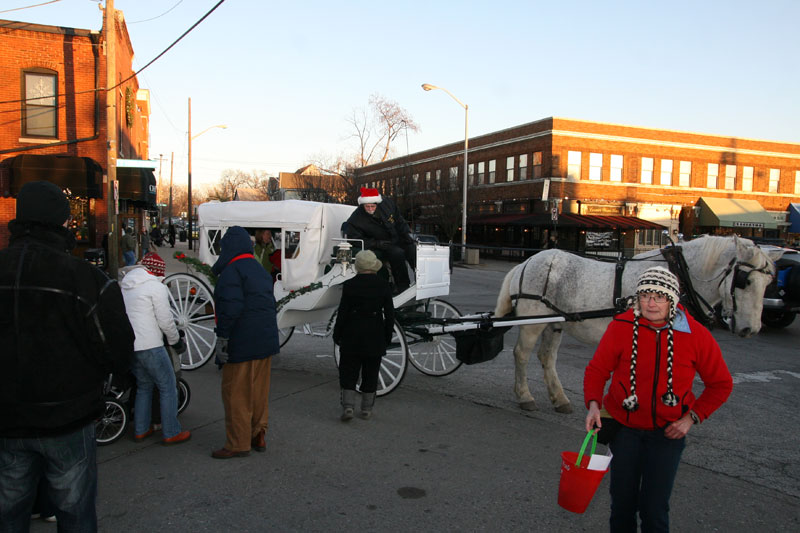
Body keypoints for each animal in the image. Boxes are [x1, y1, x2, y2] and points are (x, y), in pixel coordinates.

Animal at [494, 234, 780, 412]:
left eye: (769, 282)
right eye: (745, 281)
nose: (750, 329)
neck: (678, 277)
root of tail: (527, 262)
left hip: (555, 322)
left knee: (547, 357)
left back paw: (560, 399)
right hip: (532, 319)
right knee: (522, 354)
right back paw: (524, 395)